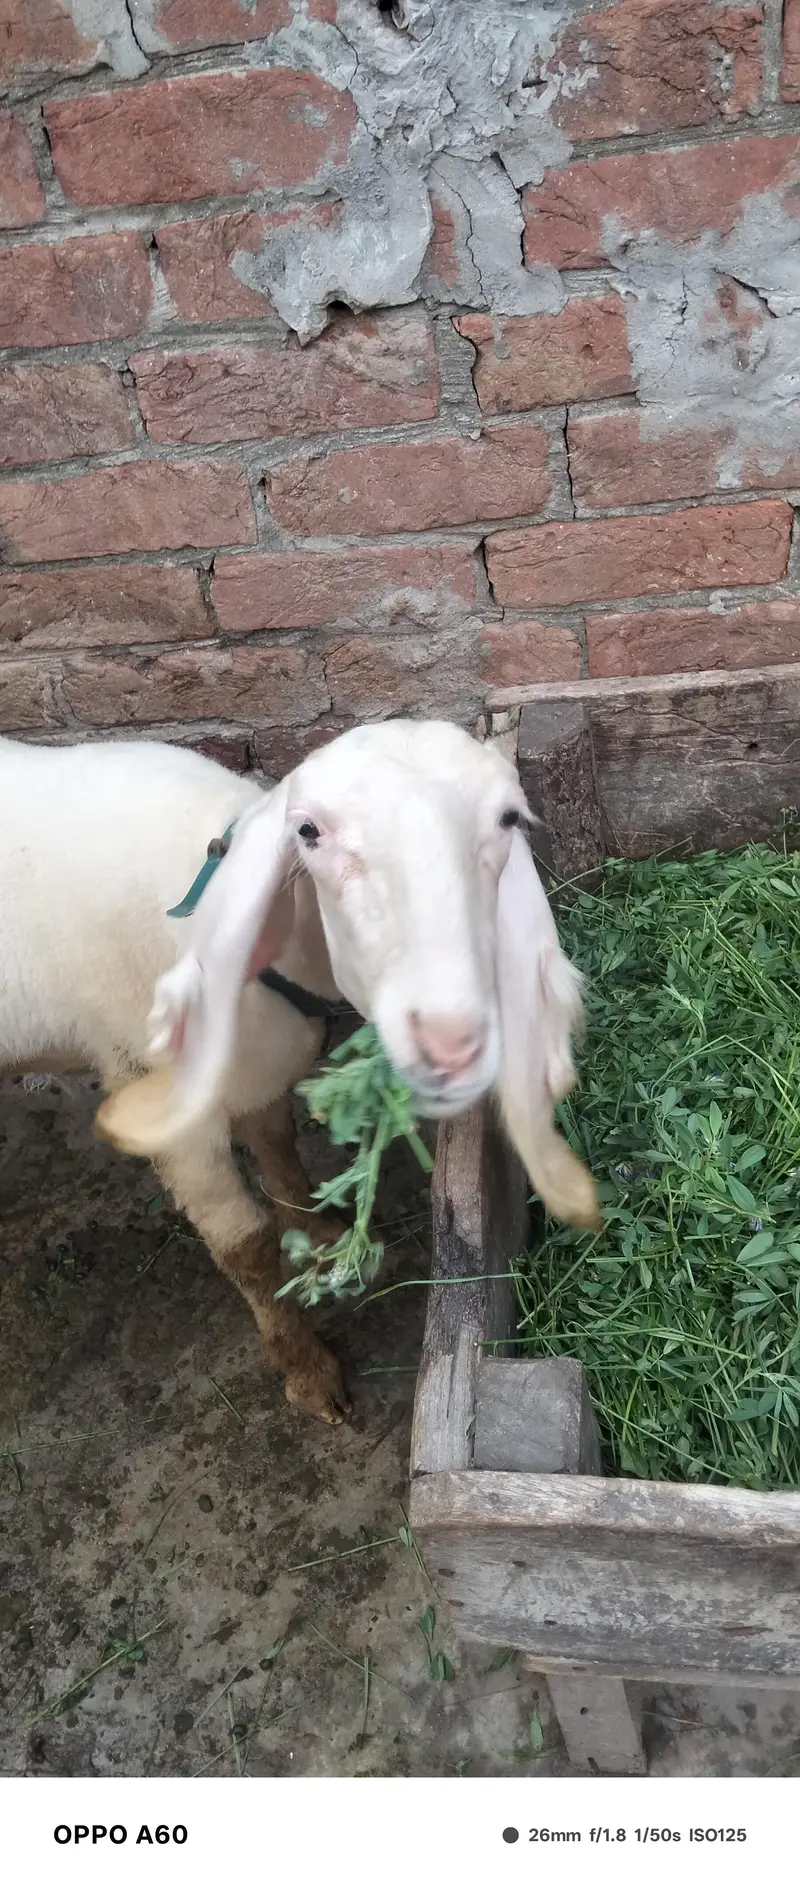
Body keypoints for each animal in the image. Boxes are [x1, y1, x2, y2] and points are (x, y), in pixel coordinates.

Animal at [1, 719, 599, 1427]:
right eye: (308, 831)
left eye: (508, 818)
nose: (451, 1044)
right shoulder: (166, 1104)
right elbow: (247, 1248)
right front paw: (306, 1370)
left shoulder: (259, 1064)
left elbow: (279, 1147)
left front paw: (317, 1228)